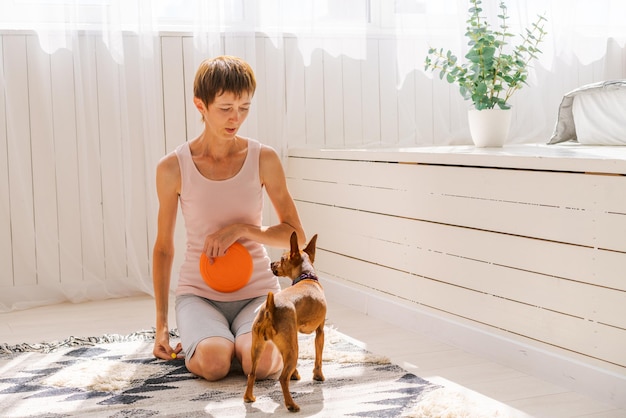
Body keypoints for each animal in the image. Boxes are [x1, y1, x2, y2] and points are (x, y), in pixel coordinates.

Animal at [241, 232, 324, 412]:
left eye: (281, 259)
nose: (272, 263)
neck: (307, 277)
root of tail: (270, 307)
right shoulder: (320, 331)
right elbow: (318, 357)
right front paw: (318, 376)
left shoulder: (289, 339)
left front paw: (296, 374)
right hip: (292, 349)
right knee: (282, 378)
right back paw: (291, 405)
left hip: (258, 347)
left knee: (252, 373)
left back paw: (249, 398)